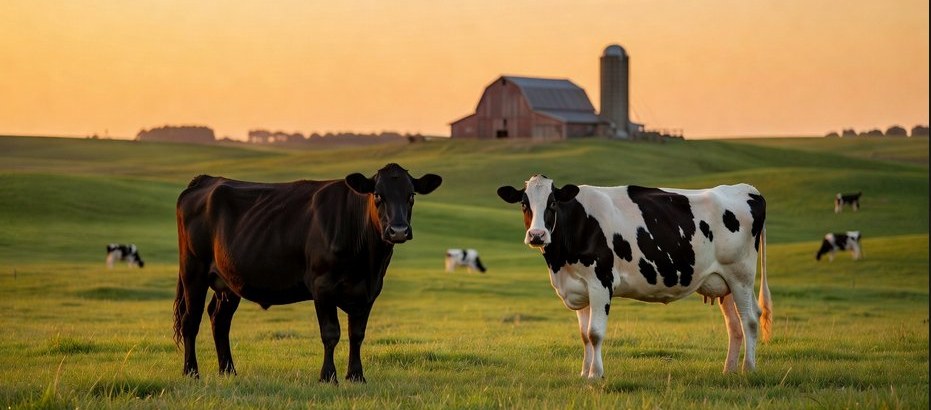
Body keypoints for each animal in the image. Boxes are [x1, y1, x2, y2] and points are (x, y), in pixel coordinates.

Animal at [173, 163, 442, 383]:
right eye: (378, 195)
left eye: (411, 195)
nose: (398, 230)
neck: (367, 263)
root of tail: (207, 180)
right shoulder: (322, 286)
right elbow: (331, 333)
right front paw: (328, 376)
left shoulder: (369, 291)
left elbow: (357, 334)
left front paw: (356, 376)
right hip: (193, 271)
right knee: (190, 320)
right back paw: (191, 372)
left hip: (229, 281)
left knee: (219, 319)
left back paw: (228, 371)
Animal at [497, 175, 772, 378]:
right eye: (524, 204)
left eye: (553, 203)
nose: (537, 235)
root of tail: (745, 188)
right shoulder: (578, 287)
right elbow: (584, 335)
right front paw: (584, 373)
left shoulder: (600, 282)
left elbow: (595, 332)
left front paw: (595, 375)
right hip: (723, 281)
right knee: (734, 325)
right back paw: (729, 370)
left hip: (741, 275)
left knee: (749, 319)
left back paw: (748, 369)